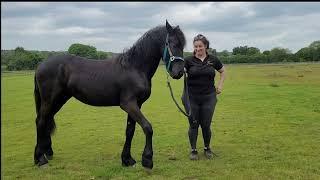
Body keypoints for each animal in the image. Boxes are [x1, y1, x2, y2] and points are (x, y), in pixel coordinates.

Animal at [33, 20, 186, 169]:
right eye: (172, 43)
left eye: (183, 45)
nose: (179, 72)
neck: (134, 68)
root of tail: (41, 65)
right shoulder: (128, 104)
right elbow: (147, 127)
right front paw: (147, 160)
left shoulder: (137, 105)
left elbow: (130, 130)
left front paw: (127, 160)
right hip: (49, 99)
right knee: (40, 121)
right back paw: (40, 159)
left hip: (60, 99)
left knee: (47, 119)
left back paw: (47, 152)